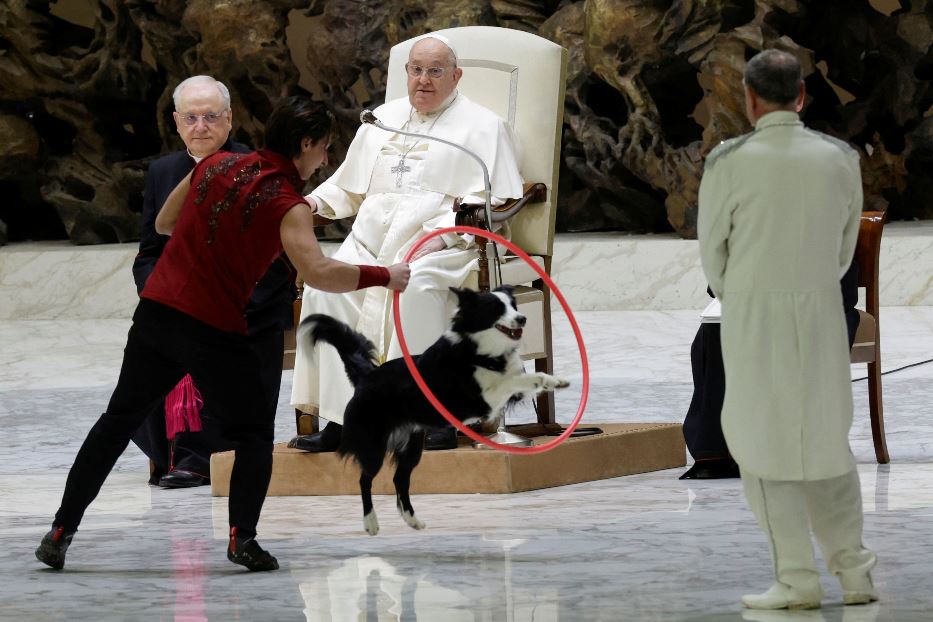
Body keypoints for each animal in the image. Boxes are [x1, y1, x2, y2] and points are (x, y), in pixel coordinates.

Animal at [302, 288, 572, 536]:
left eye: (513, 305)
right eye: (497, 309)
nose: (522, 318)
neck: (478, 349)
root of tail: (366, 376)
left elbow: (528, 380)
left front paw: (556, 381)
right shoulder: (482, 399)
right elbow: (512, 381)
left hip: (412, 445)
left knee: (400, 479)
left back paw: (413, 520)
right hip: (373, 444)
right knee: (365, 479)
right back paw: (371, 523)